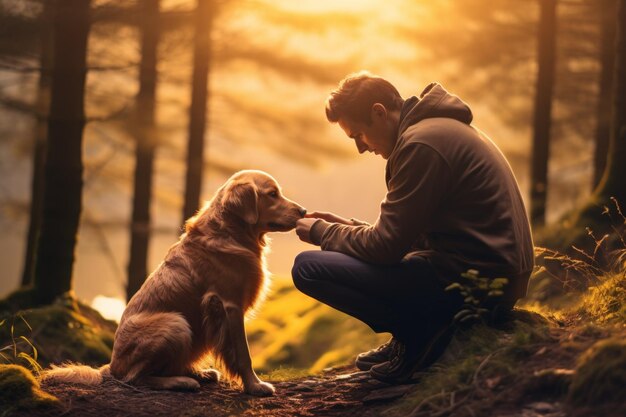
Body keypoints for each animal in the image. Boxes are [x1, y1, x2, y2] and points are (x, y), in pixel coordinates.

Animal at [42, 170, 306, 396]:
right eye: (272, 194)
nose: (303, 211)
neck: (230, 232)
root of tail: (112, 366)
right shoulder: (229, 304)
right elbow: (243, 353)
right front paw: (254, 386)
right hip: (176, 324)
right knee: (136, 378)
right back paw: (181, 381)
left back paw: (200, 373)